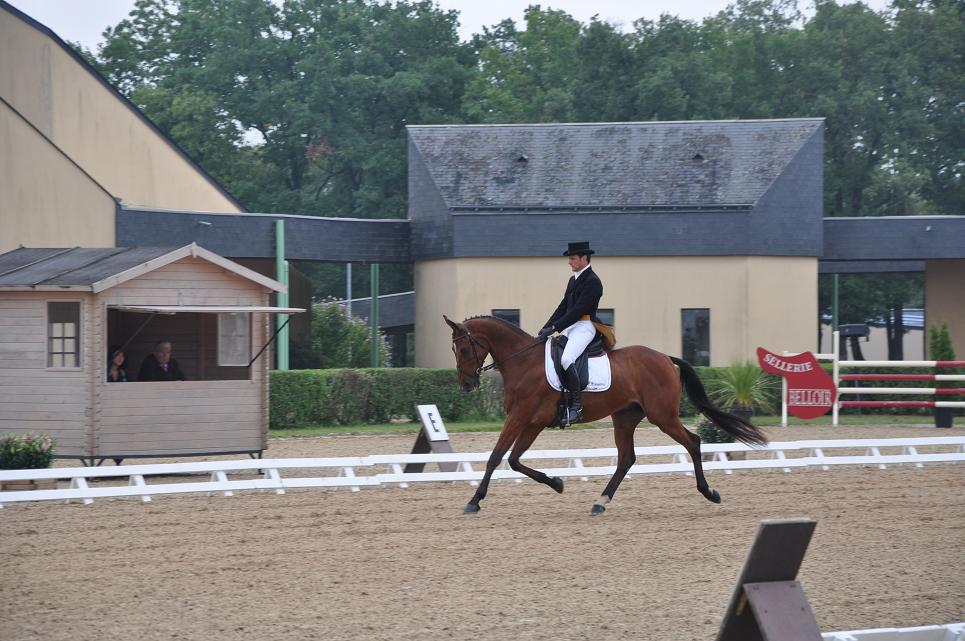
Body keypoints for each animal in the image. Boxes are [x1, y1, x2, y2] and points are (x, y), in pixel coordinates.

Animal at [444, 316, 768, 516]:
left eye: (464, 348)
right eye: (454, 349)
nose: (466, 385)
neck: (522, 361)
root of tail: (665, 357)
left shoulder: (520, 417)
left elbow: (496, 456)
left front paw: (474, 501)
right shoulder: (532, 422)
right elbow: (513, 460)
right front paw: (557, 483)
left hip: (662, 416)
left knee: (693, 442)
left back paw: (709, 492)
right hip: (625, 417)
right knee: (626, 459)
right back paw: (600, 502)